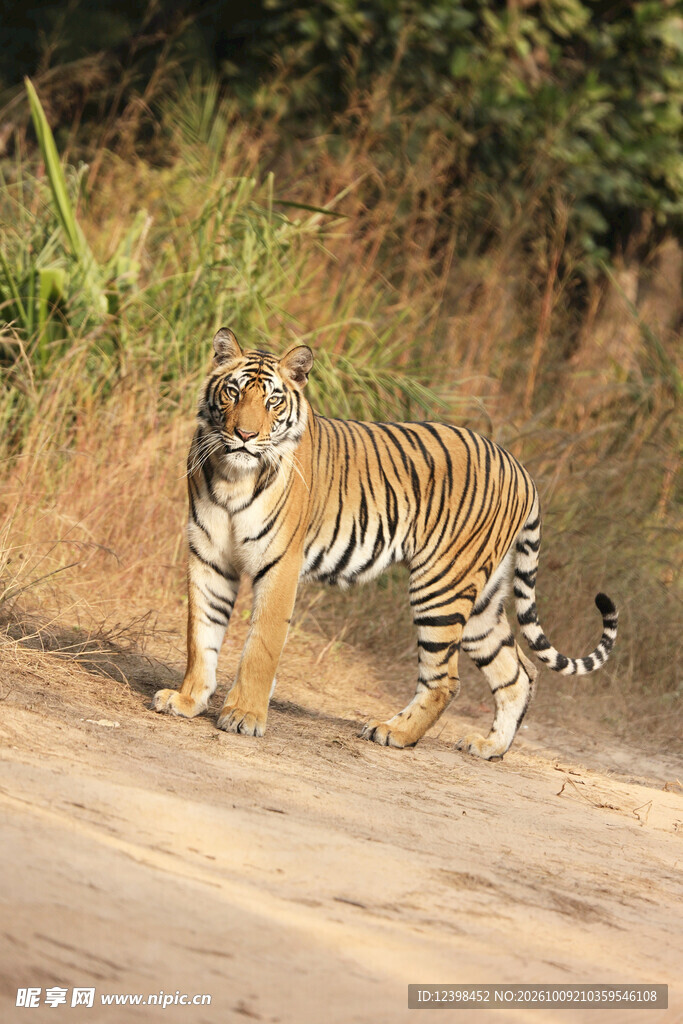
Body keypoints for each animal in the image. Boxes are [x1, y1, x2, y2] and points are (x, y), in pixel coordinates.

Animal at [153, 328, 618, 758]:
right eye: (232, 392)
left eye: (273, 401)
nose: (245, 436)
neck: (233, 475)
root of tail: (521, 469)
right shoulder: (209, 557)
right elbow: (200, 634)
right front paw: (187, 700)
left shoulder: (280, 565)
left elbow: (261, 646)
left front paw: (244, 716)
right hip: (483, 600)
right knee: (518, 672)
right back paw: (489, 747)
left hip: (441, 586)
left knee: (446, 680)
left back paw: (394, 732)